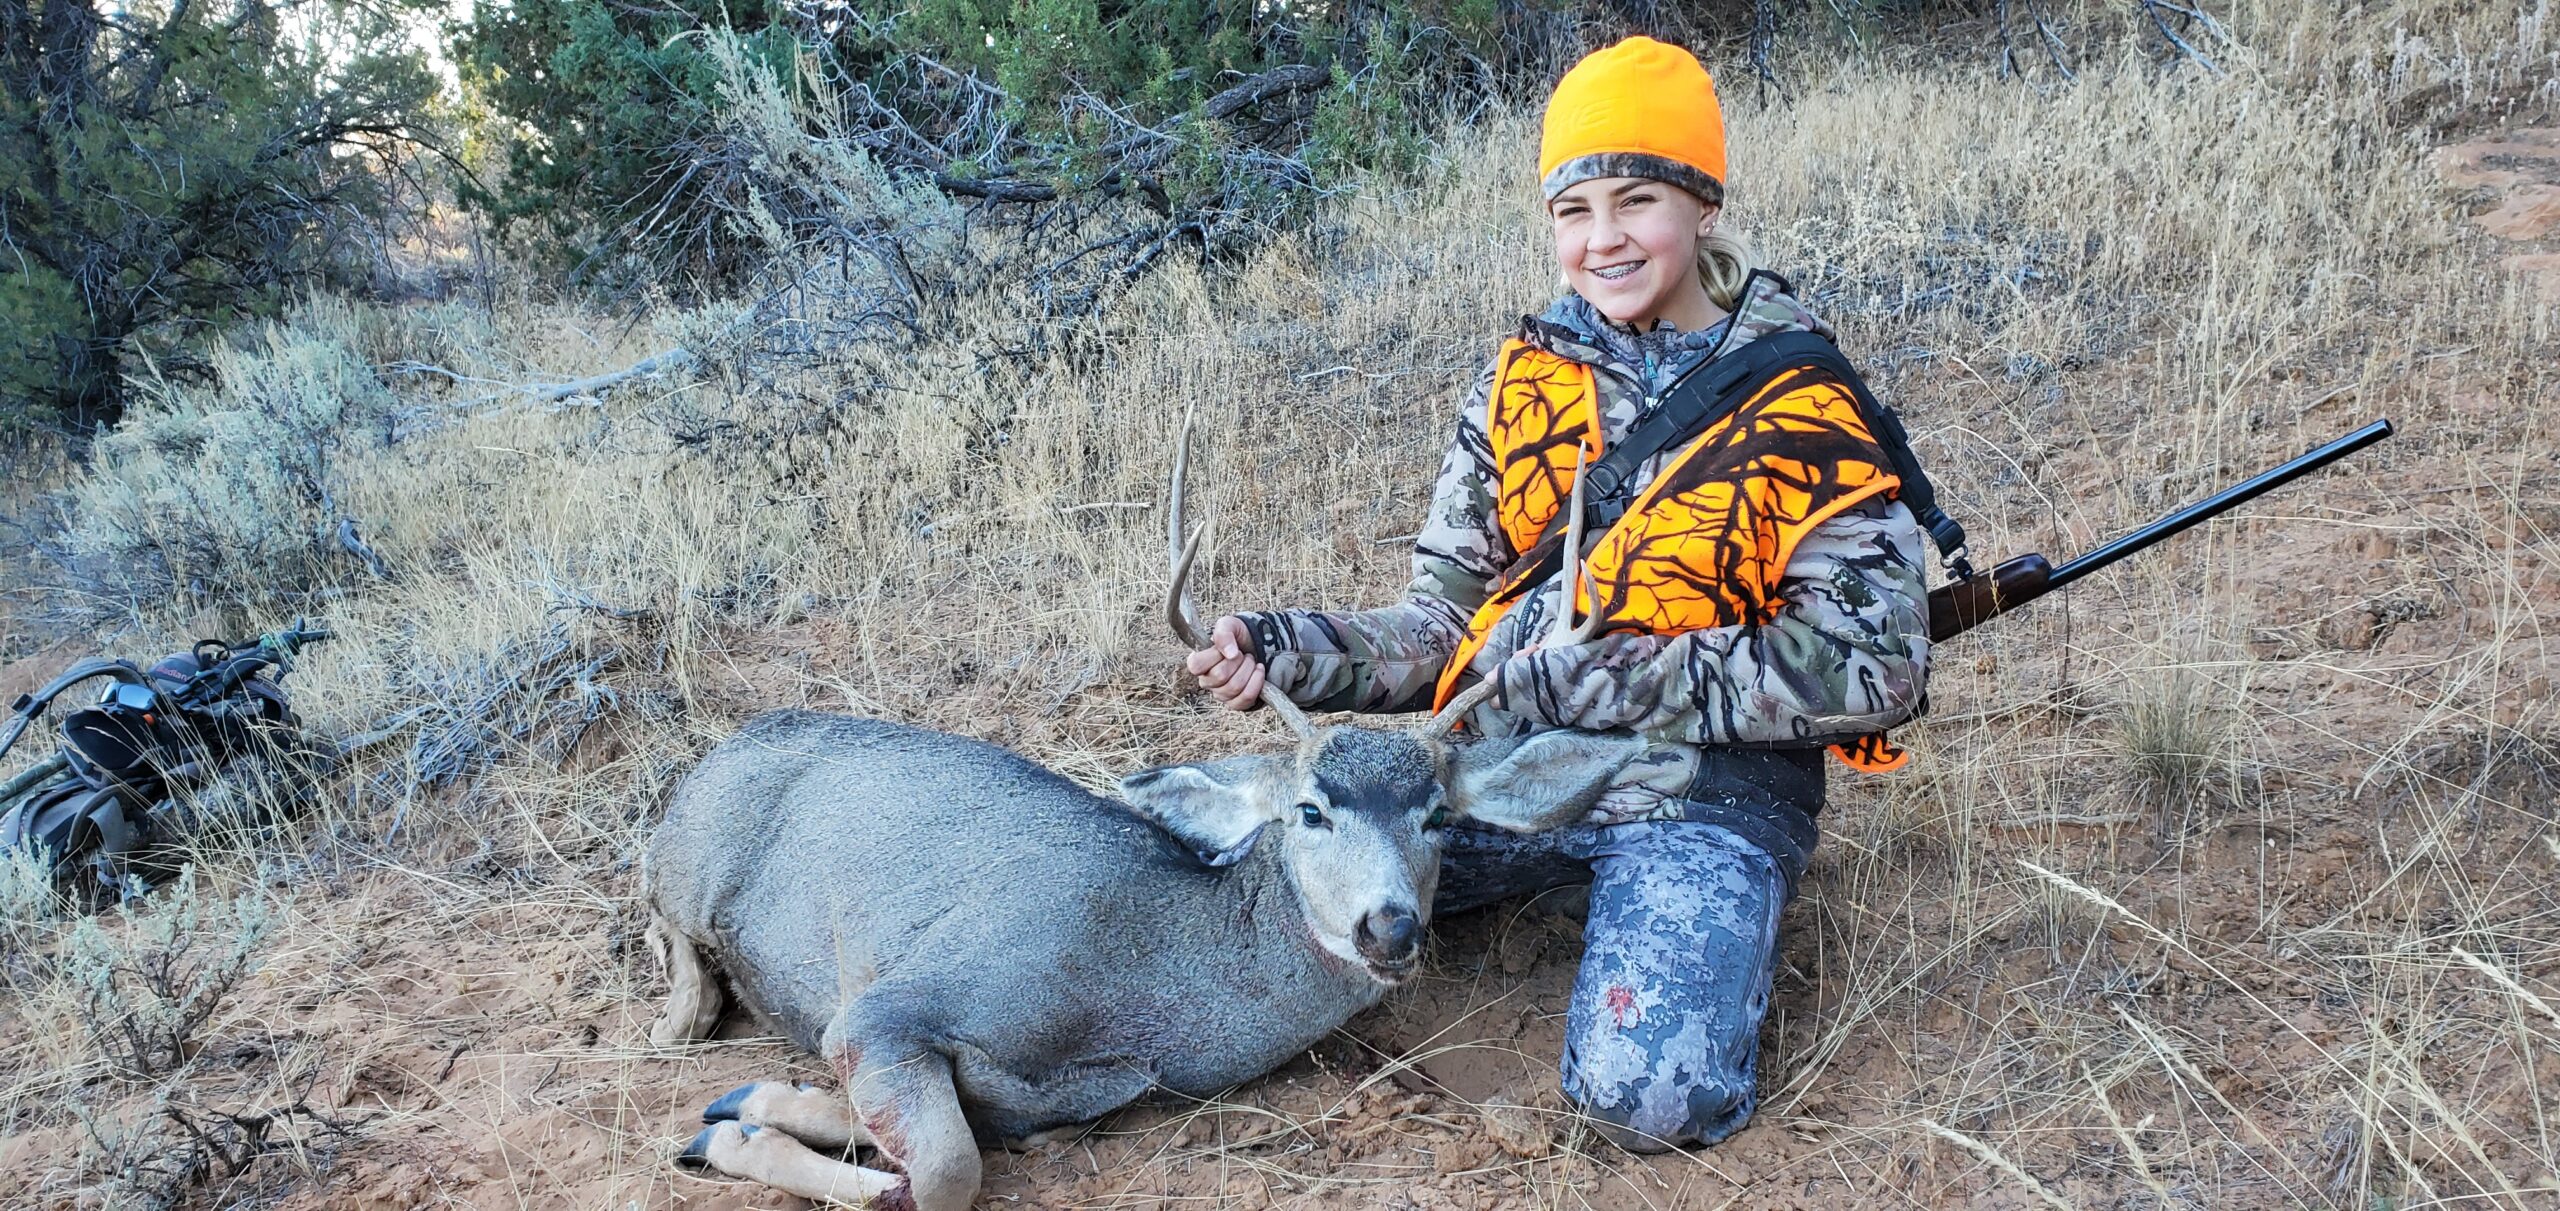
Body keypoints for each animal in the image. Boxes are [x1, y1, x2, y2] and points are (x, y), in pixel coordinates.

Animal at [643, 425, 1623, 1210]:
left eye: (1438, 818)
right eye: (1309, 810)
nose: (1389, 927)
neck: (1139, 986)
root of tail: (724, 750)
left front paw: (747, 1107)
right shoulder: (890, 1004)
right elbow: (945, 1170)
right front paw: (731, 1126)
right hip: (691, 862)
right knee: (669, 934)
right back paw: (688, 1012)